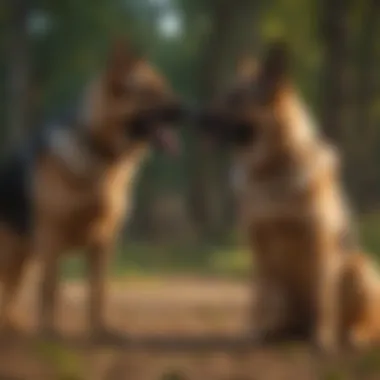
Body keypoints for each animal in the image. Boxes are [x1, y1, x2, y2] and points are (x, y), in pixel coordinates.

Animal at [0, 38, 186, 338]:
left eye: (164, 86)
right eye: (148, 93)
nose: (189, 109)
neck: (97, 150)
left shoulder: (103, 241)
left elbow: (98, 290)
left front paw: (100, 330)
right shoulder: (51, 239)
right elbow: (50, 289)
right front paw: (49, 332)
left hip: (21, 260)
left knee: (9, 295)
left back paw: (13, 325)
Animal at [197, 40, 380, 350]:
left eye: (235, 99)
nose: (194, 118)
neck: (274, 170)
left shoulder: (319, 242)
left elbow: (324, 298)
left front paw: (323, 339)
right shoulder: (258, 248)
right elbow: (259, 298)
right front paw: (253, 333)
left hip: (359, 268)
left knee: (361, 323)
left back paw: (350, 336)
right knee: (278, 309)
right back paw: (277, 332)